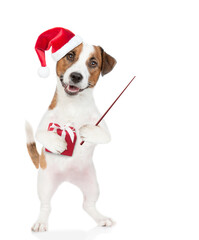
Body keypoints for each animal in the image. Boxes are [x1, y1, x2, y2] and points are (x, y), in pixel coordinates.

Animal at [26, 34, 116, 232]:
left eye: (93, 63)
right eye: (70, 55)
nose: (76, 76)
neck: (74, 104)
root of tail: (68, 177)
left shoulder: (104, 129)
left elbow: (102, 134)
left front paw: (84, 130)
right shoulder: (43, 126)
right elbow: (42, 134)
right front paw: (58, 143)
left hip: (92, 185)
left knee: (88, 205)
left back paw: (101, 218)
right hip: (45, 184)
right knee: (46, 205)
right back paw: (41, 222)